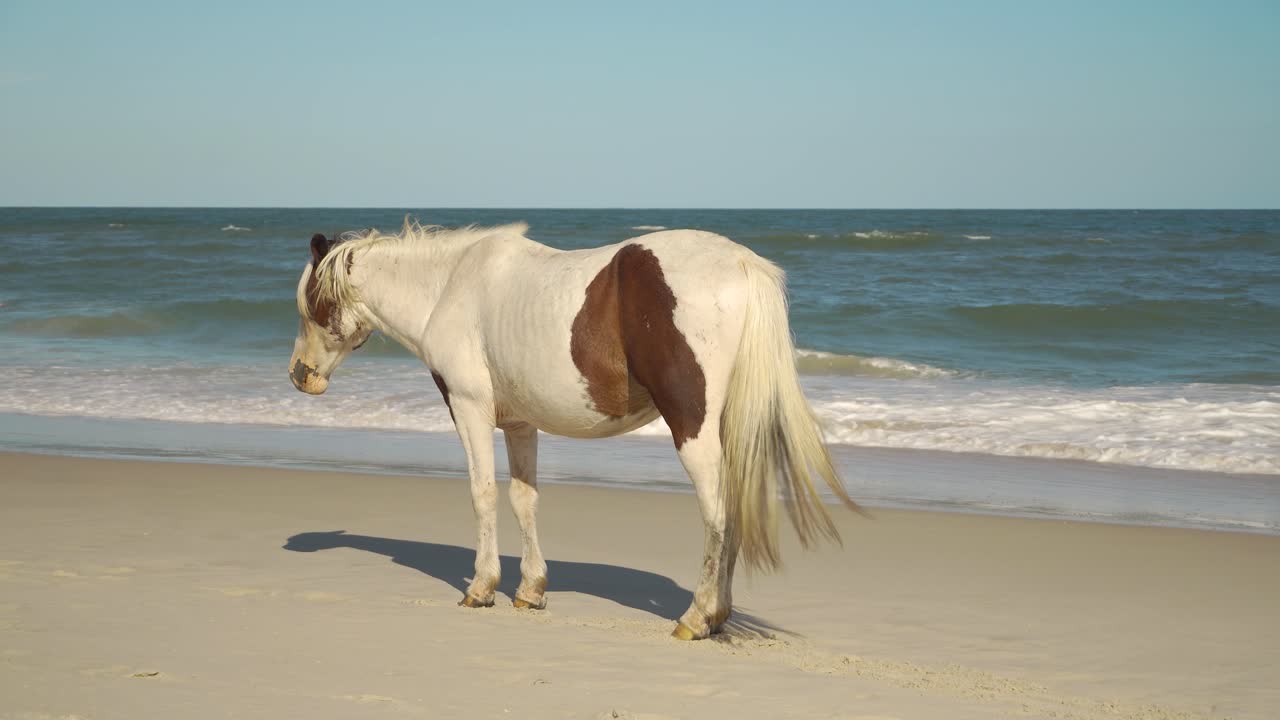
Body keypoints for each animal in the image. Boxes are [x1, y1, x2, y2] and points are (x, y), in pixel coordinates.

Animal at [288, 220, 858, 640]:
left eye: (310, 303)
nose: (300, 375)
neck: (449, 287)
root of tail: (741, 263)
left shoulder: (470, 410)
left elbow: (482, 494)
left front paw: (482, 587)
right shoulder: (519, 422)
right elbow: (524, 499)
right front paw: (531, 590)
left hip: (693, 427)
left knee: (718, 512)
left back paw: (697, 617)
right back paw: (718, 616)